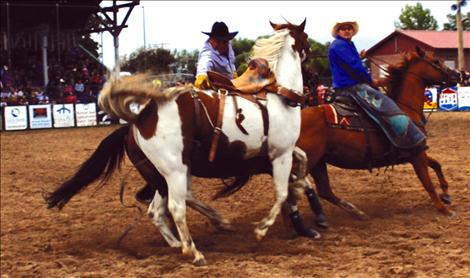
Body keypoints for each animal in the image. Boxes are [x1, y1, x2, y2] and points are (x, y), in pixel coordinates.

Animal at [45, 20, 312, 264]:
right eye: (306, 40)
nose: (311, 73)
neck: (279, 95)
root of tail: (141, 117)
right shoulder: (280, 154)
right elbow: (281, 193)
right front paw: (262, 228)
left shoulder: (285, 151)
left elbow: (303, 161)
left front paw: (299, 190)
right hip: (174, 170)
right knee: (177, 207)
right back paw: (194, 252)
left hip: (165, 174)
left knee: (158, 210)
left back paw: (181, 241)